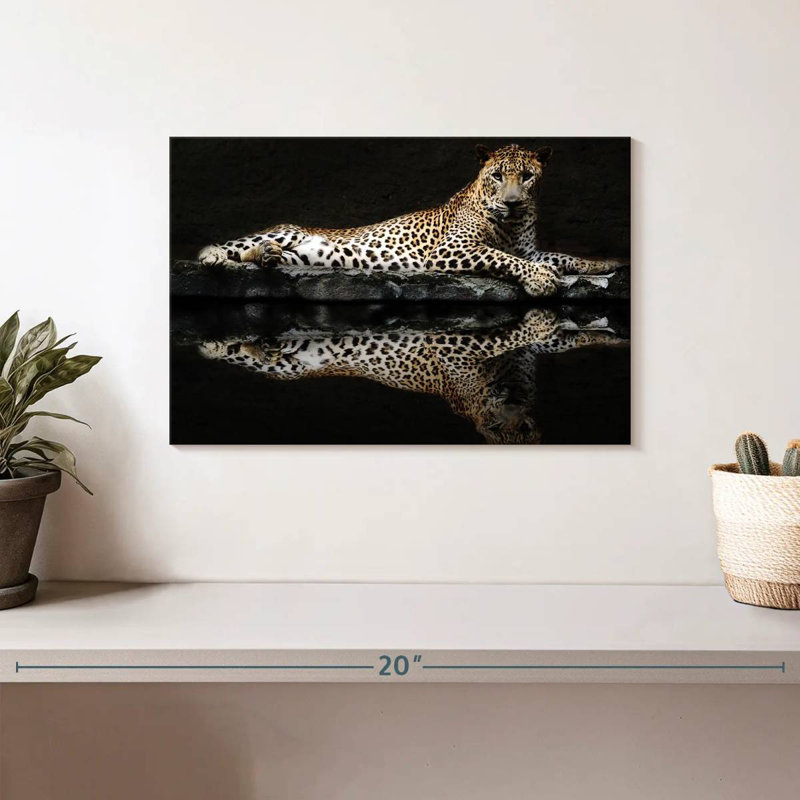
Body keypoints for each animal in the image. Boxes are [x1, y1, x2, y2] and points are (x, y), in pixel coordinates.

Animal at [196, 143, 624, 297]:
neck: (512, 224)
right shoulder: (453, 249)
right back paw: (216, 256)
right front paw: (540, 281)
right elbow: (503, 258)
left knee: (261, 255)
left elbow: (563, 256)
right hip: (285, 231)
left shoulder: (530, 250)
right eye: (497, 176)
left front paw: (606, 263)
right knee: (233, 247)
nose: (514, 203)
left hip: (304, 255)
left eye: (528, 176)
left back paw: (268, 256)